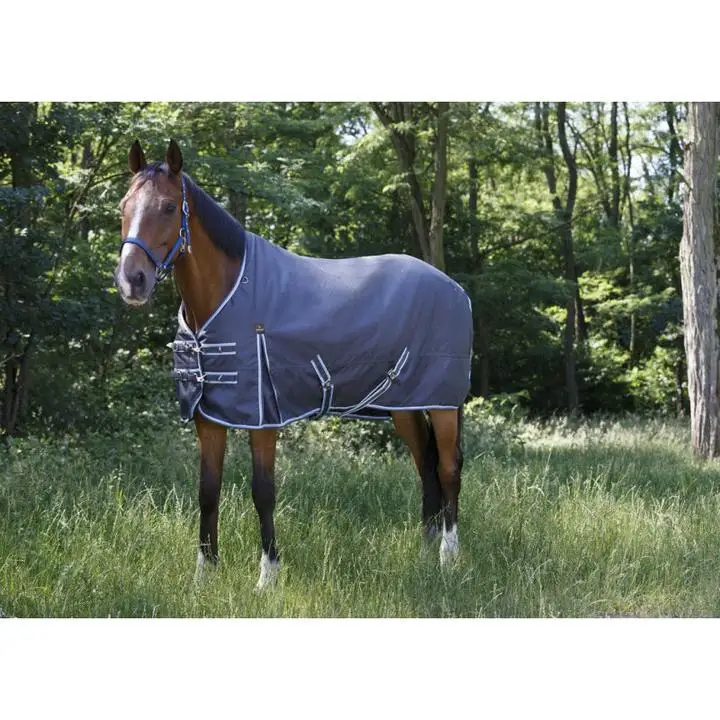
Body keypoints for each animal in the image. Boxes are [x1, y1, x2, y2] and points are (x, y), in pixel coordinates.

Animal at [115, 139, 472, 590]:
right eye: (123, 205)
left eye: (166, 207)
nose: (131, 281)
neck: (227, 295)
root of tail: (454, 288)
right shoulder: (208, 417)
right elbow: (208, 491)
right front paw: (204, 575)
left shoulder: (263, 418)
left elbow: (263, 491)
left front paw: (268, 576)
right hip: (404, 405)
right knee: (425, 467)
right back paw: (425, 554)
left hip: (443, 404)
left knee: (448, 469)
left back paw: (449, 558)